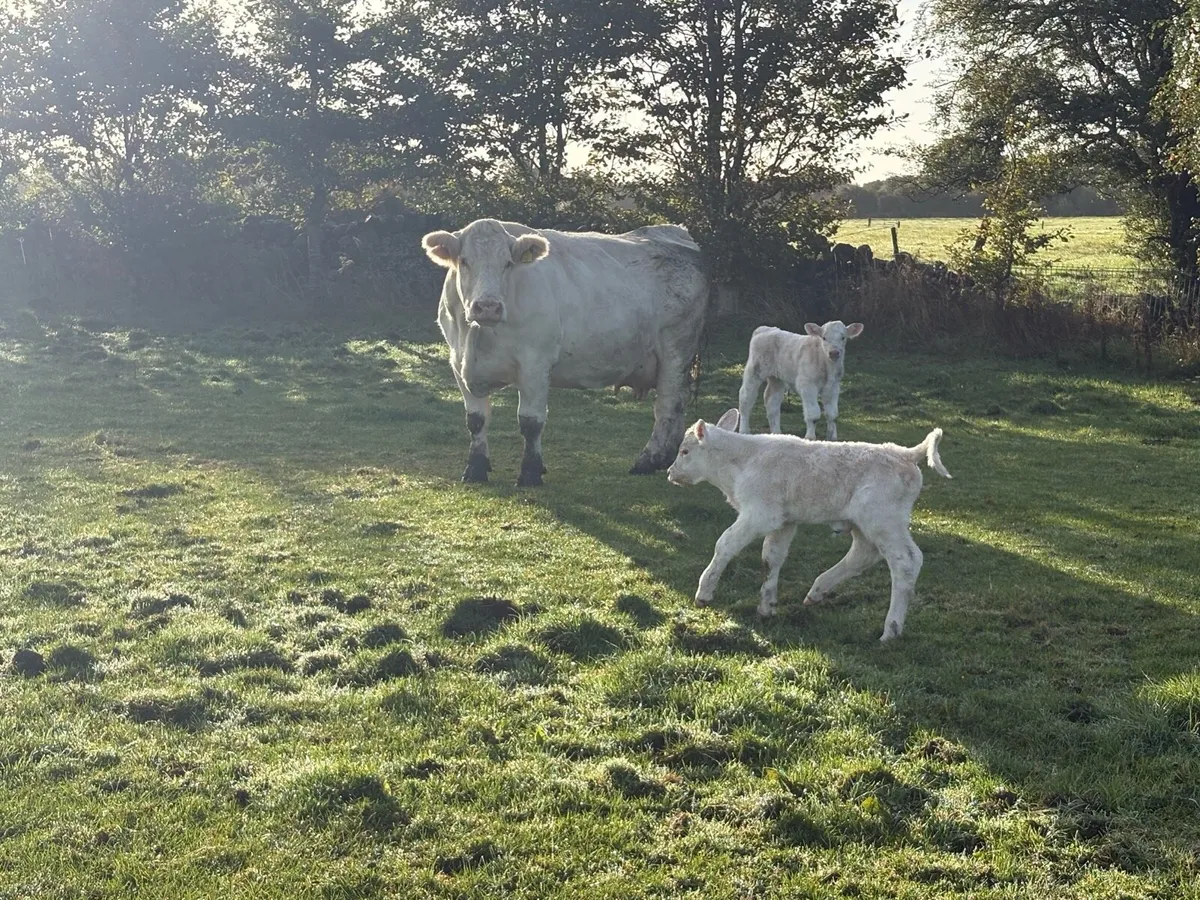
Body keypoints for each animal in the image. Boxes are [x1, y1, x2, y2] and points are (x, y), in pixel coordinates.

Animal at [422, 219, 712, 486]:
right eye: (464, 261)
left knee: (667, 406)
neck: (477, 336)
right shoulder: (458, 363)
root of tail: (674, 232)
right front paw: (476, 469)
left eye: (508, 263)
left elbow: (531, 421)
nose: (488, 307)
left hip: (675, 350)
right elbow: (476, 420)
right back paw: (669, 458)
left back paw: (648, 460)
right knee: (679, 403)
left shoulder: (535, 365)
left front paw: (530, 473)